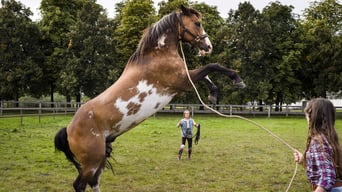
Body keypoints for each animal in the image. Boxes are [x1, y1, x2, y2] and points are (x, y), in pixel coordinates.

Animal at [54, 5, 244, 191]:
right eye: (197, 23)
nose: (208, 47)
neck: (157, 55)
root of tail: (69, 129)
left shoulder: (185, 79)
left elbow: (207, 75)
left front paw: (213, 94)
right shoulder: (182, 81)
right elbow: (212, 66)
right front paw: (237, 80)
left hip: (100, 158)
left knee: (94, 182)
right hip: (92, 161)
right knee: (79, 185)